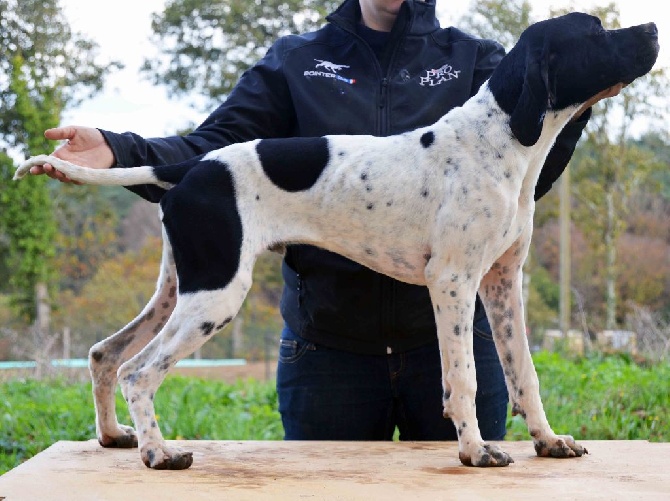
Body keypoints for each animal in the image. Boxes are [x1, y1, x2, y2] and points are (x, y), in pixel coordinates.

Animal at [15, 13, 660, 470]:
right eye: (595, 31)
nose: (654, 28)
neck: (500, 140)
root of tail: (192, 168)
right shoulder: (452, 282)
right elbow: (465, 380)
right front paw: (475, 451)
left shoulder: (503, 284)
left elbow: (523, 371)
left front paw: (548, 441)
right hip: (215, 296)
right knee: (138, 371)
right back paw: (159, 452)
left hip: (183, 288)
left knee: (104, 354)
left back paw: (114, 437)